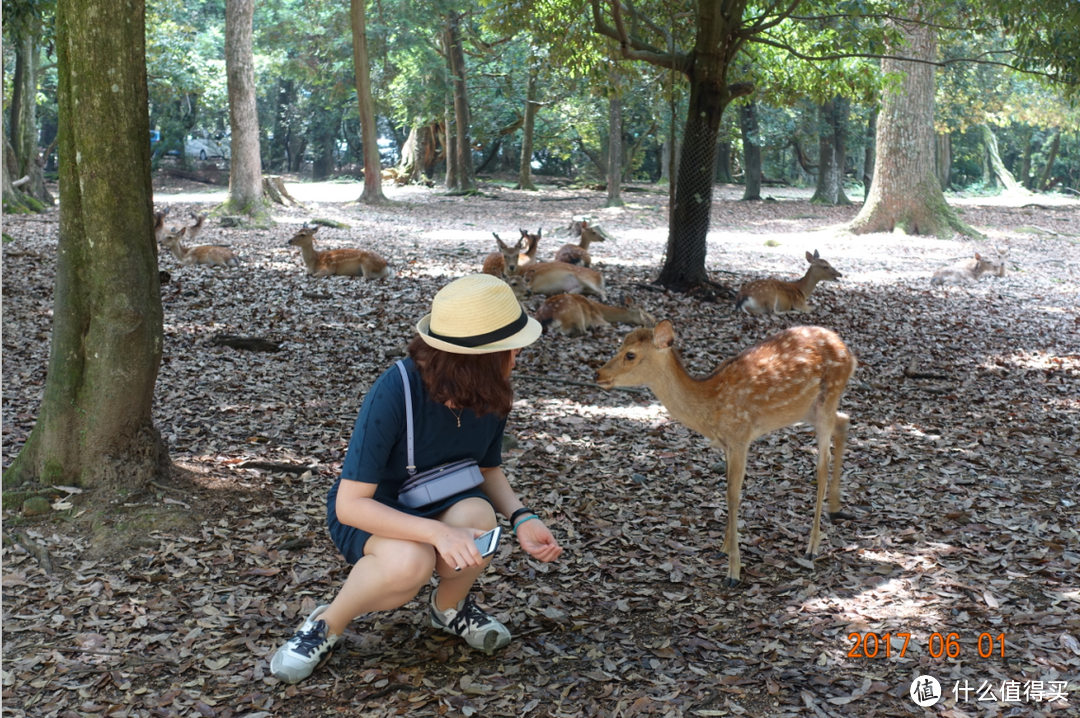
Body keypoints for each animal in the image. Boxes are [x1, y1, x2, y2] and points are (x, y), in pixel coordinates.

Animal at [596, 321, 855, 587]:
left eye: (630, 355)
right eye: (620, 345)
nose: (598, 374)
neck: (711, 403)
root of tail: (847, 351)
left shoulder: (740, 436)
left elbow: (733, 496)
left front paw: (733, 572)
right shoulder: (726, 444)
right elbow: (726, 489)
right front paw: (723, 549)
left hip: (828, 396)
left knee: (822, 463)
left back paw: (812, 546)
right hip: (806, 410)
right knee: (844, 420)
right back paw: (835, 510)